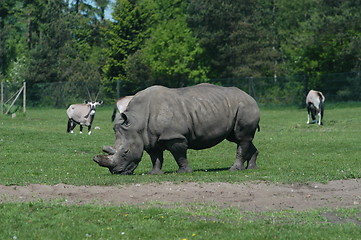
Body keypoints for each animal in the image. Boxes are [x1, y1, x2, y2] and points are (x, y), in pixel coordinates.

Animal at [93, 83, 258, 174]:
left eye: (126, 152)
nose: (117, 172)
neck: (136, 123)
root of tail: (251, 97)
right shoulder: (149, 138)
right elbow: (156, 156)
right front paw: (155, 173)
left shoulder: (174, 136)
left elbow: (179, 155)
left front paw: (183, 172)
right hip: (235, 107)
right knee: (241, 138)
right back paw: (251, 168)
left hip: (245, 106)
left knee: (241, 138)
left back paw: (234, 169)